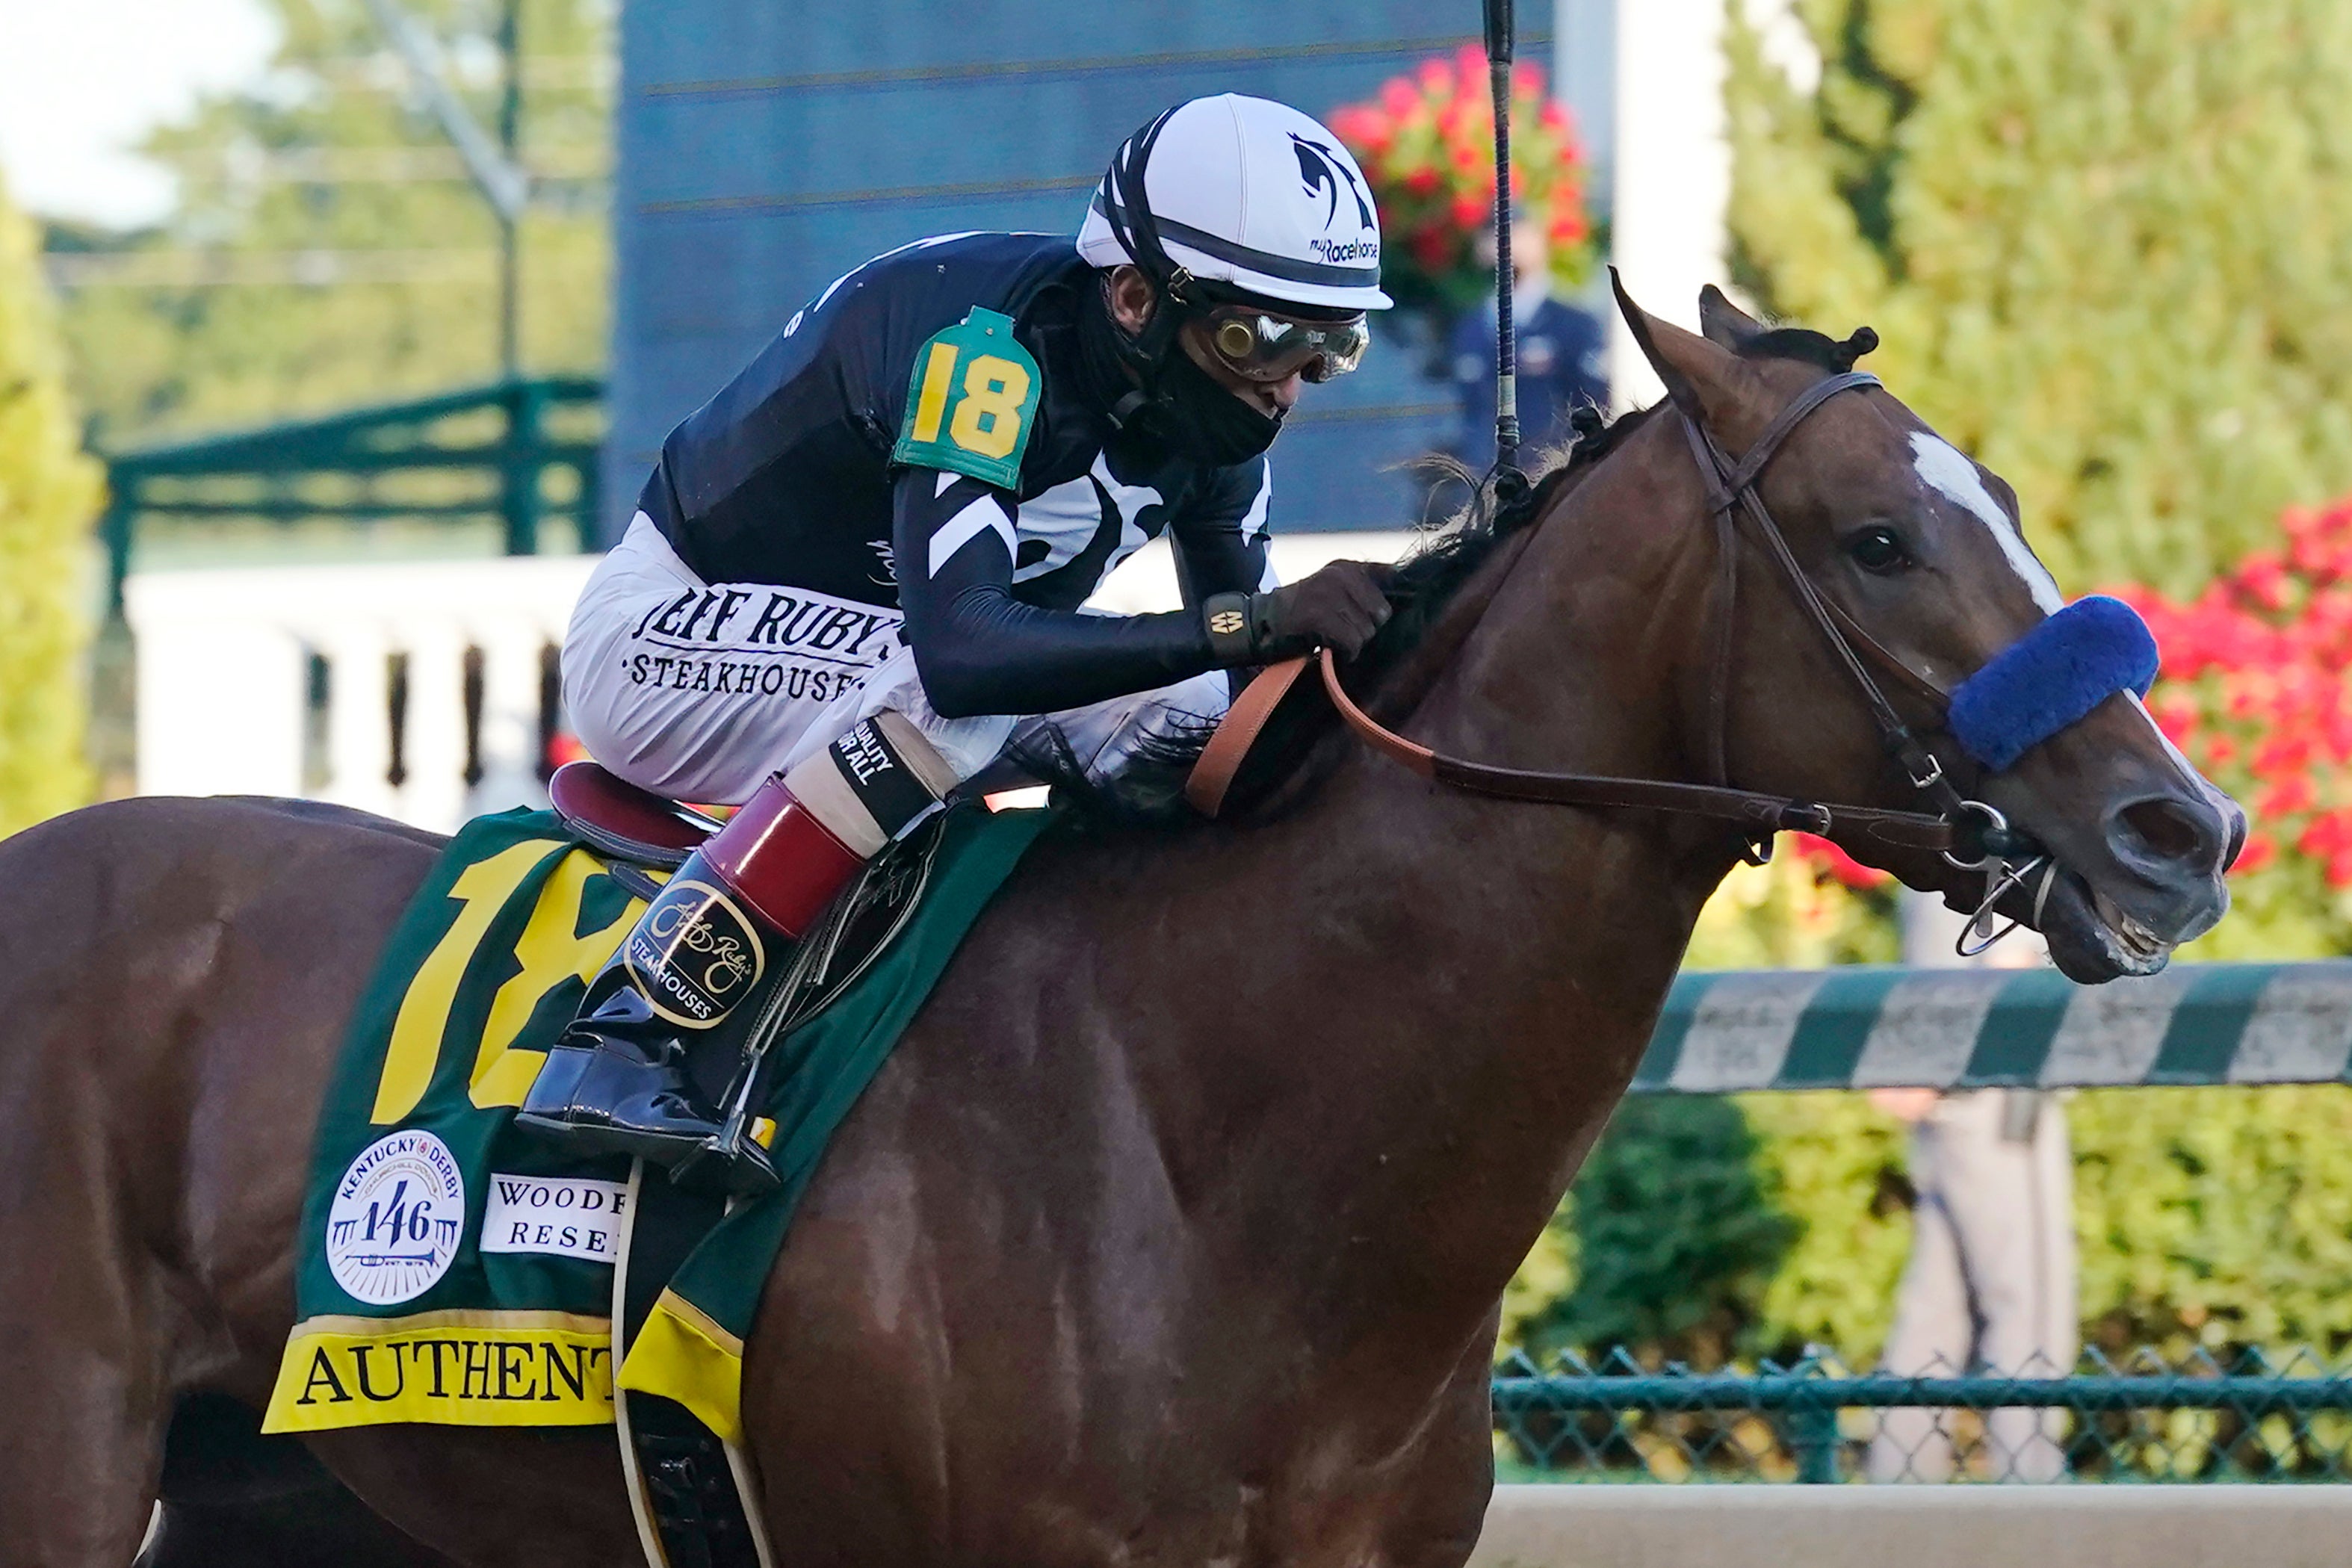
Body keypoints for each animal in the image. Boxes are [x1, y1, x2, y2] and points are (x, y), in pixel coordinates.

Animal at [4, 288, 2238, 1561]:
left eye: (1995, 499)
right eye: (1873, 538)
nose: (2178, 827)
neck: (1221, 1123)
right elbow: (969, 640)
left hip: (284, 1489)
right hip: (70, 1455)